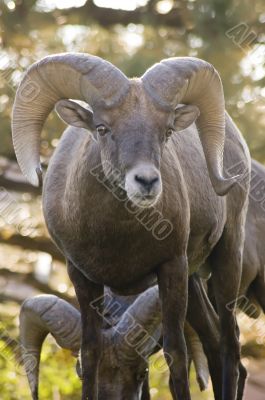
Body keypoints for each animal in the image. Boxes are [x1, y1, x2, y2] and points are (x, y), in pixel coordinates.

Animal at [12, 53, 250, 400]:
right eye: (102, 128)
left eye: (166, 131)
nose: (146, 181)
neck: (117, 239)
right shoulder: (81, 277)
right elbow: (91, 352)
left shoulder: (171, 268)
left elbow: (176, 354)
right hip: (195, 281)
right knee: (215, 345)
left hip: (226, 260)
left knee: (230, 347)